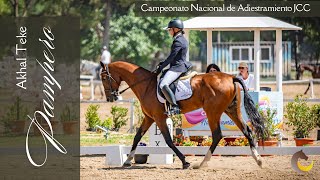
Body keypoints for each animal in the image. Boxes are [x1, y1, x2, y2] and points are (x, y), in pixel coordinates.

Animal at [99, 61, 264, 169]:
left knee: (217, 135)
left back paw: (201, 163)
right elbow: (137, 137)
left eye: (104, 78)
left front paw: (185, 162)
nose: (110, 98)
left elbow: (168, 141)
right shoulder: (149, 118)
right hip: (231, 110)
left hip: (212, 112)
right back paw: (258, 160)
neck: (146, 85)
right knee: (247, 130)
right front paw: (127, 161)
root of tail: (231, 77)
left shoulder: (159, 118)